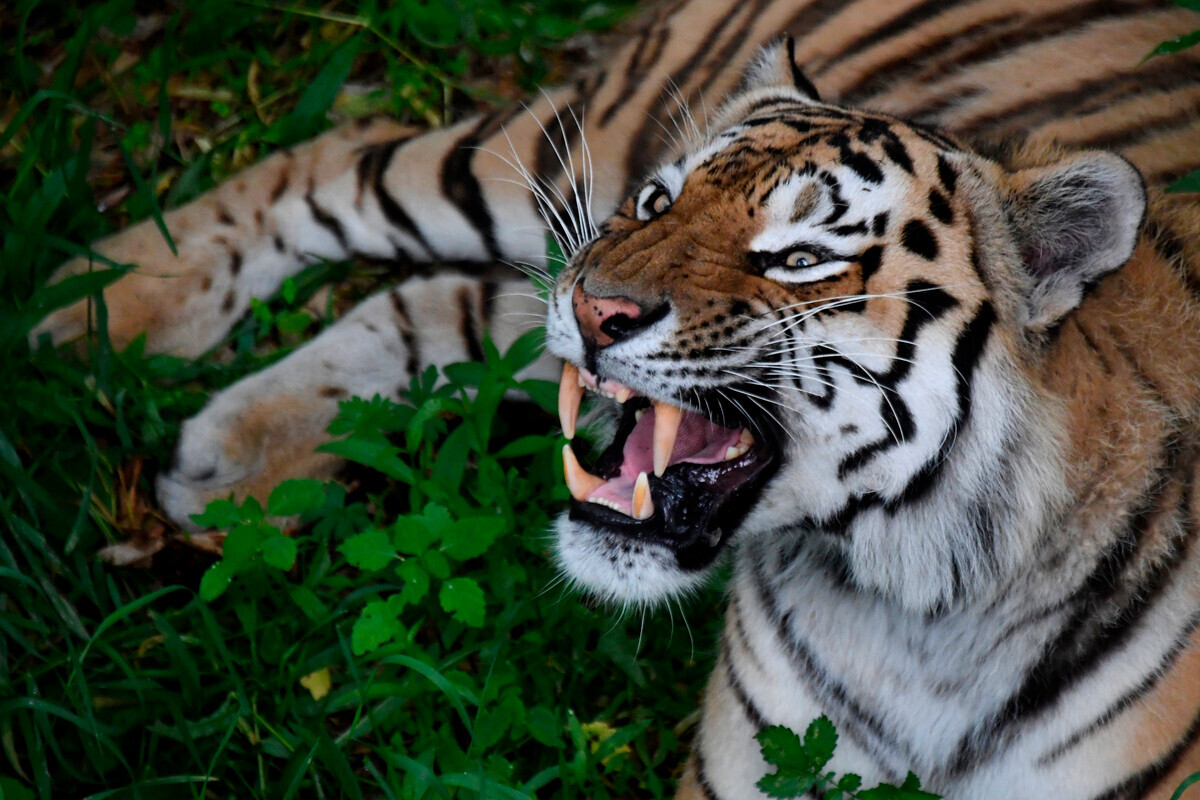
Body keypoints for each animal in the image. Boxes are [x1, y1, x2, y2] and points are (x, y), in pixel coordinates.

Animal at [25, 0, 1200, 796]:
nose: (598, 309)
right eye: (657, 202)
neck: (912, 605)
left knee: (443, 299)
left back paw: (230, 464)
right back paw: (87, 308)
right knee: (335, 161)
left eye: (803, 257)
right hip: (553, 154)